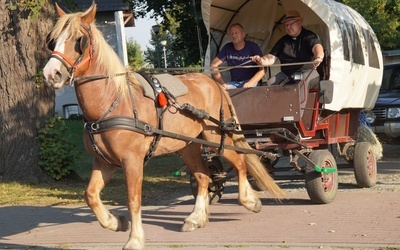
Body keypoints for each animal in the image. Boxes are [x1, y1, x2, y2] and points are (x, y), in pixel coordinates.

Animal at [43, 3, 284, 250]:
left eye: (78, 40)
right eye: (52, 40)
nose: (51, 73)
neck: (114, 101)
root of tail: (214, 83)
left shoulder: (132, 161)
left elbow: (133, 200)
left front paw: (135, 238)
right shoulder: (104, 161)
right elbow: (90, 194)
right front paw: (115, 222)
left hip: (216, 138)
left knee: (240, 162)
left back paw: (249, 200)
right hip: (188, 146)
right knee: (203, 176)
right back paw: (196, 218)